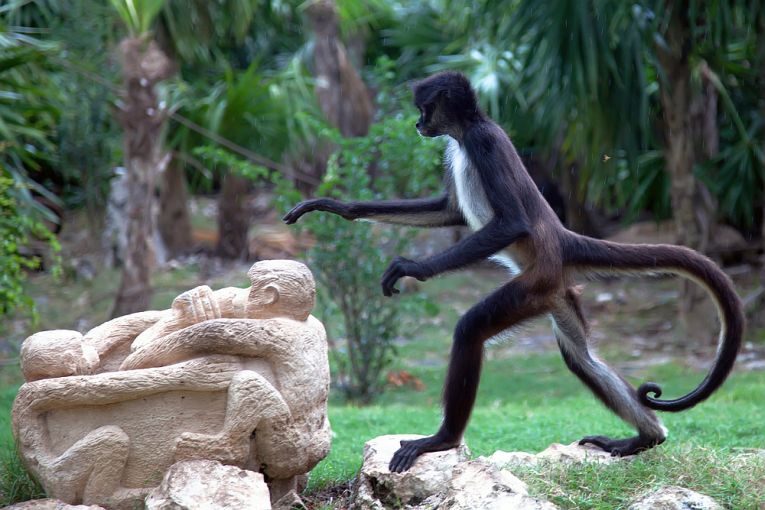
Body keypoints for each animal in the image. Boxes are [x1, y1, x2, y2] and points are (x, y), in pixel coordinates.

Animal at [282, 71, 744, 473]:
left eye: (425, 109)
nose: (417, 124)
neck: (469, 131)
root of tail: (561, 238)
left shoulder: (483, 143)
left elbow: (511, 224)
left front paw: (412, 267)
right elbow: (449, 211)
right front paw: (340, 207)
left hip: (532, 286)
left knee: (472, 329)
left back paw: (444, 439)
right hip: (554, 292)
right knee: (579, 355)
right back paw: (646, 439)